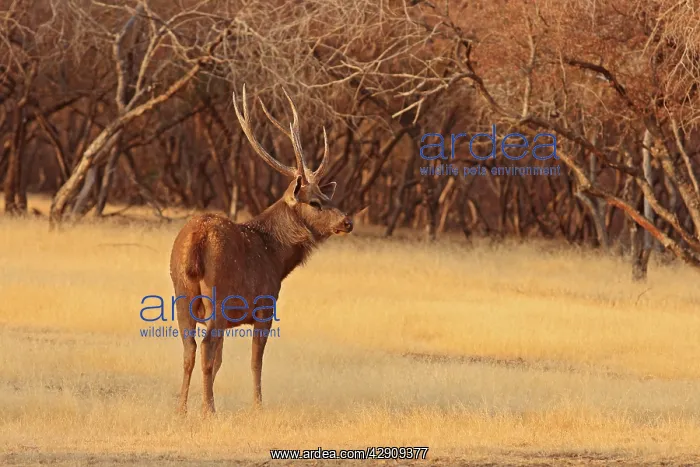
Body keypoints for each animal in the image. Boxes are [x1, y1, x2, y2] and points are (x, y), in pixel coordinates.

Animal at [169, 85, 353, 415]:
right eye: (315, 202)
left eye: (327, 196)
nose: (347, 221)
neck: (275, 257)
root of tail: (197, 239)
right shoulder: (265, 305)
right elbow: (255, 362)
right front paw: (257, 406)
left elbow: (220, 361)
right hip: (218, 294)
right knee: (205, 347)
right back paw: (208, 410)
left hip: (181, 293)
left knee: (190, 349)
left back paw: (182, 409)